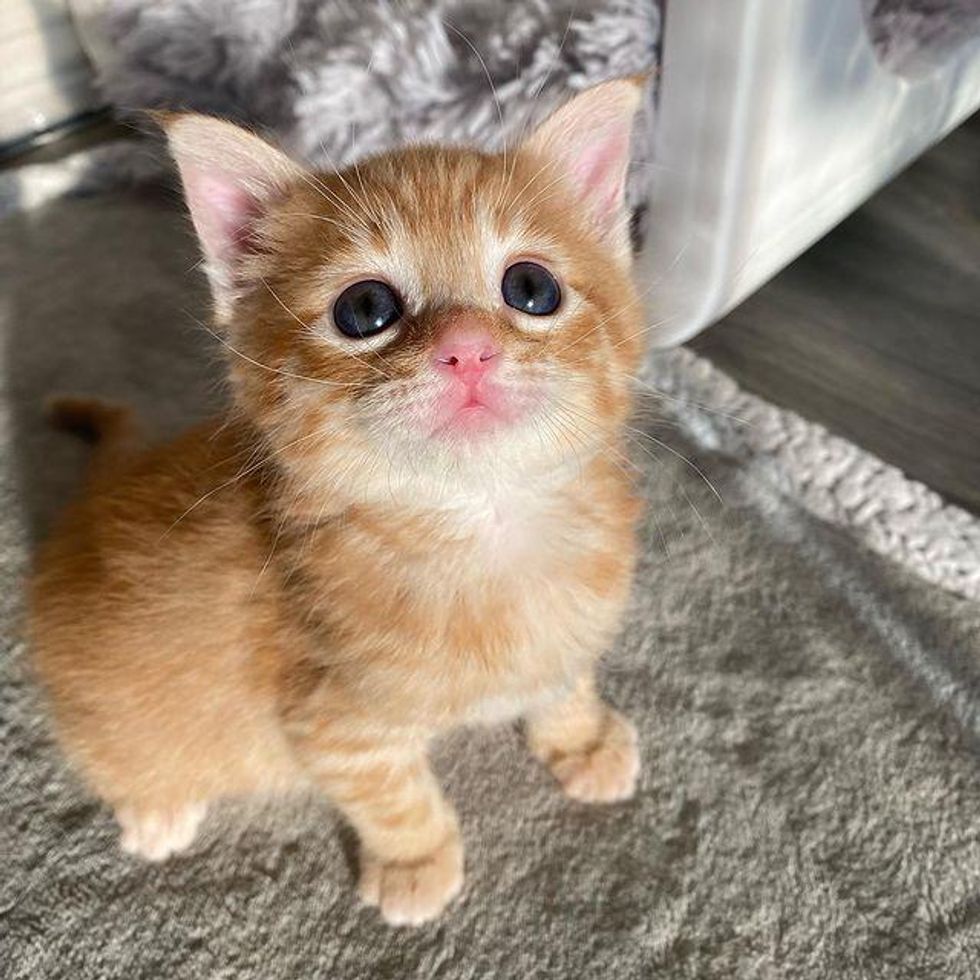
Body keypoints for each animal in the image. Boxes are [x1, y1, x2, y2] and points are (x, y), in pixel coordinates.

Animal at [28, 78, 644, 928]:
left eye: (531, 289)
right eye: (365, 310)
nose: (467, 348)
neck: (482, 531)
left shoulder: (565, 633)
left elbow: (563, 678)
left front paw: (580, 739)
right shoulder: (331, 728)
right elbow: (393, 795)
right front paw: (416, 863)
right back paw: (156, 805)